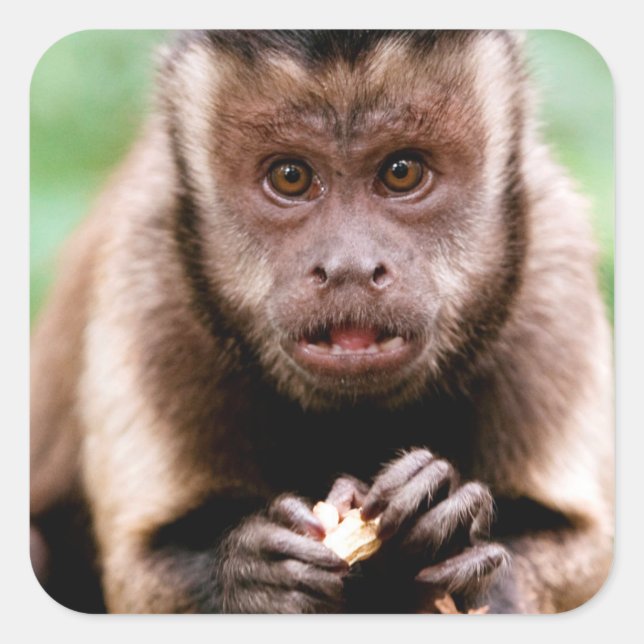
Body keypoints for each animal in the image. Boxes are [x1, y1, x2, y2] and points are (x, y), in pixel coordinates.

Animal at [30, 30, 614, 614]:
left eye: (402, 171)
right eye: (291, 177)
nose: (349, 267)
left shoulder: (551, 262)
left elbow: (584, 547)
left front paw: (451, 532)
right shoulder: (150, 269)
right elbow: (140, 571)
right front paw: (255, 578)